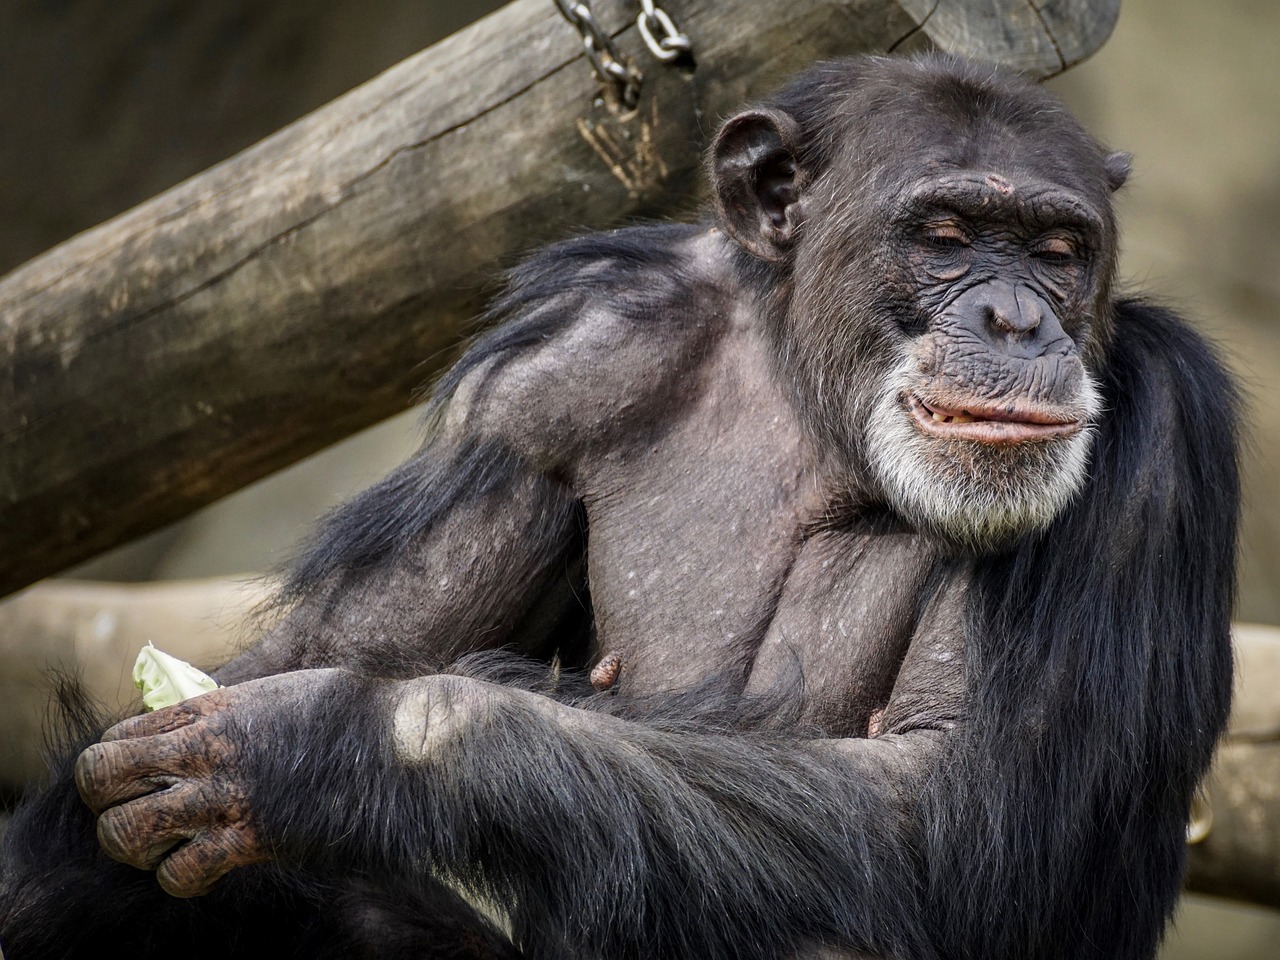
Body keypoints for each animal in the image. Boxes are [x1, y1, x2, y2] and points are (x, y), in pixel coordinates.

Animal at [0, 50, 1239, 960]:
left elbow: (958, 814)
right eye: (943, 236)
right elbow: (324, 645)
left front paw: (327, 747)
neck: (815, 404)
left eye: (1057, 249)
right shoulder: (546, 386)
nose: (1015, 320)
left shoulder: (1155, 438)